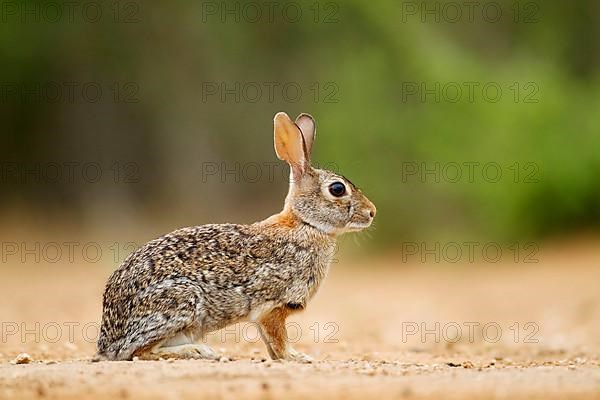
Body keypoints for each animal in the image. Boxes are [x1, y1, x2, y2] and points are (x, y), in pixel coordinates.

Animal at [95, 111, 376, 362]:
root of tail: (107, 342)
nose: (372, 212)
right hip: (180, 301)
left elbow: (270, 344)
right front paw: (296, 357)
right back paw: (200, 352)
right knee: (138, 352)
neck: (305, 223)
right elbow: (278, 338)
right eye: (337, 189)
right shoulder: (272, 306)